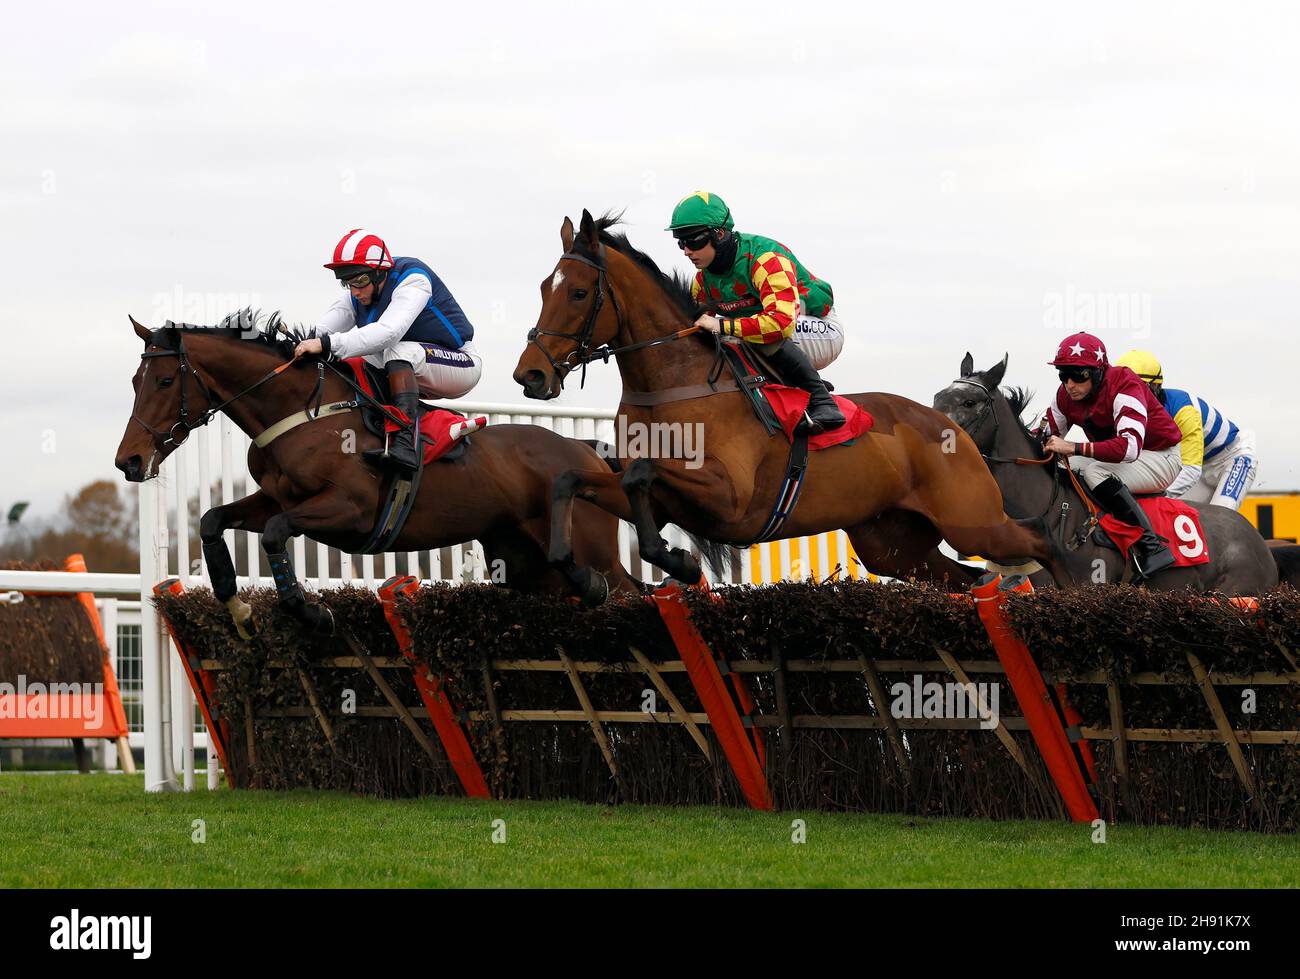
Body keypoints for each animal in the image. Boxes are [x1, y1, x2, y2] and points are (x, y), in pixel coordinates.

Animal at [114, 313, 642, 634]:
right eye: (135, 382)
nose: (129, 461)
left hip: (595, 550)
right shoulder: (276, 497)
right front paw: (239, 607)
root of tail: (586, 449)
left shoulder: (350, 510)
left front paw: (312, 610)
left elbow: (275, 532)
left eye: (165, 380)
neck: (306, 414)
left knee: (631, 590)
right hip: (524, 562)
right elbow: (212, 521)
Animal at [506, 210, 1066, 592]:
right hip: (894, 545)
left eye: (579, 293)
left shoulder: (729, 497)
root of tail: (948, 426)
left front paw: (679, 561)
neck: (672, 382)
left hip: (974, 523)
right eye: (544, 287)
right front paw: (580, 572)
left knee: (1040, 542)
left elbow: (642, 473)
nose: (530, 374)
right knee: (972, 579)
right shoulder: (657, 496)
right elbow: (574, 479)